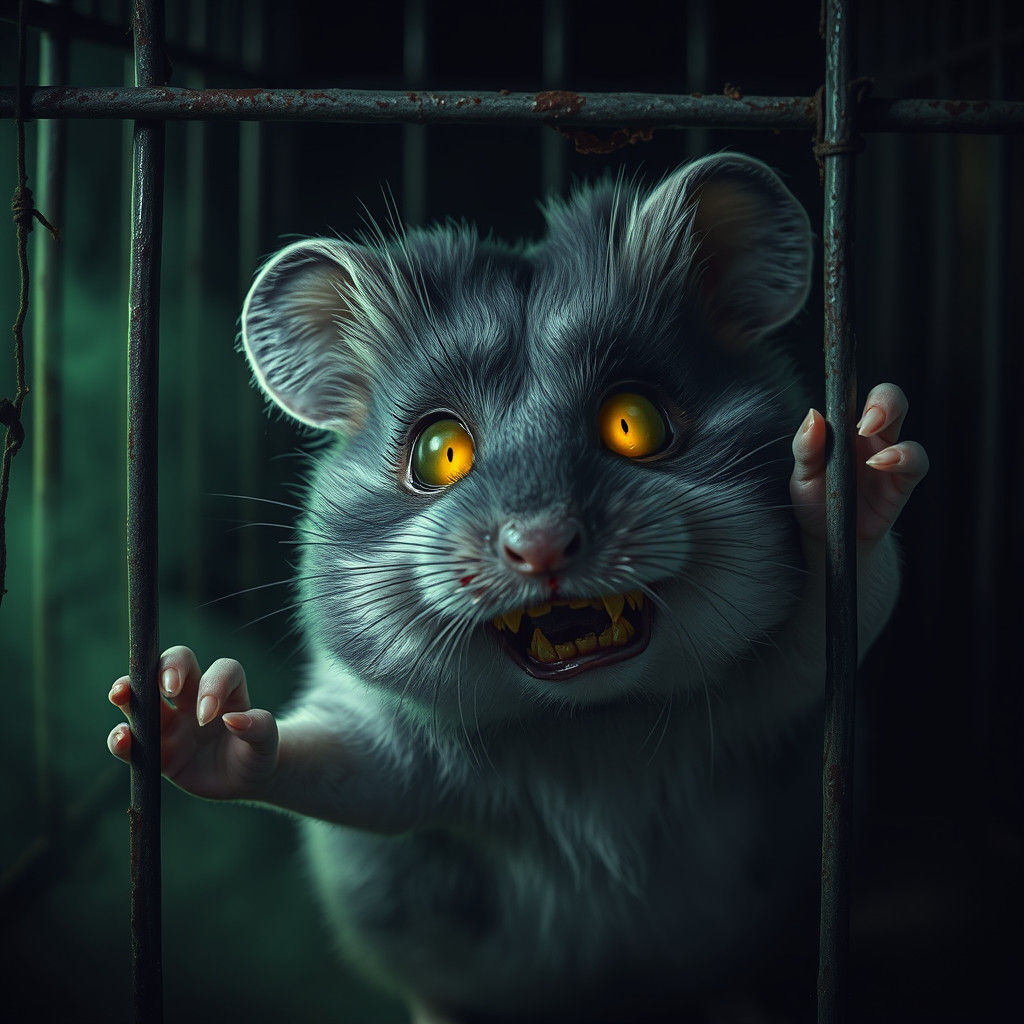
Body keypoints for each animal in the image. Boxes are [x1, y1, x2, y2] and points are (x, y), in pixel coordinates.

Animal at [107, 153, 928, 1023]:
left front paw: (861, 446)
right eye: (437, 452)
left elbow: (839, 610)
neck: (582, 724)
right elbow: (319, 760)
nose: (540, 548)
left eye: (636, 422)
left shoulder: (772, 691)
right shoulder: (399, 762)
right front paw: (181, 702)